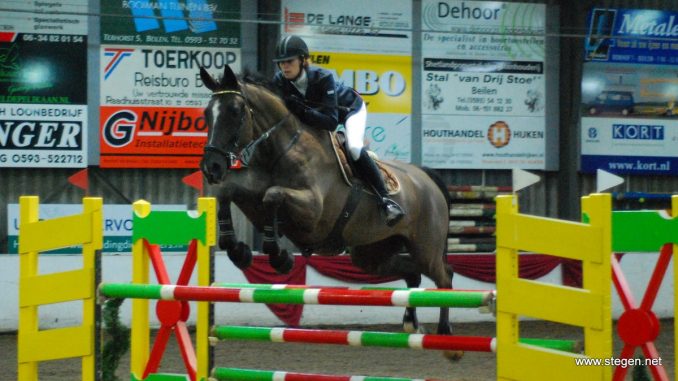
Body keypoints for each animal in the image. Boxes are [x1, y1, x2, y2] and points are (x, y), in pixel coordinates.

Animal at [199, 64, 460, 342]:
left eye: (235, 111)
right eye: (207, 113)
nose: (211, 167)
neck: (282, 150)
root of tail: (426, 177)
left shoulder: (313, 213)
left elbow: (273, 195)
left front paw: (280, 257)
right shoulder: (254, 201)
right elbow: (229, 192)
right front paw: (238, 250)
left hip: (425, 248)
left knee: (444, 277)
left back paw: (444, 331)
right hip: (372, 254)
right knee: (412, 273)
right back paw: (411, 323)